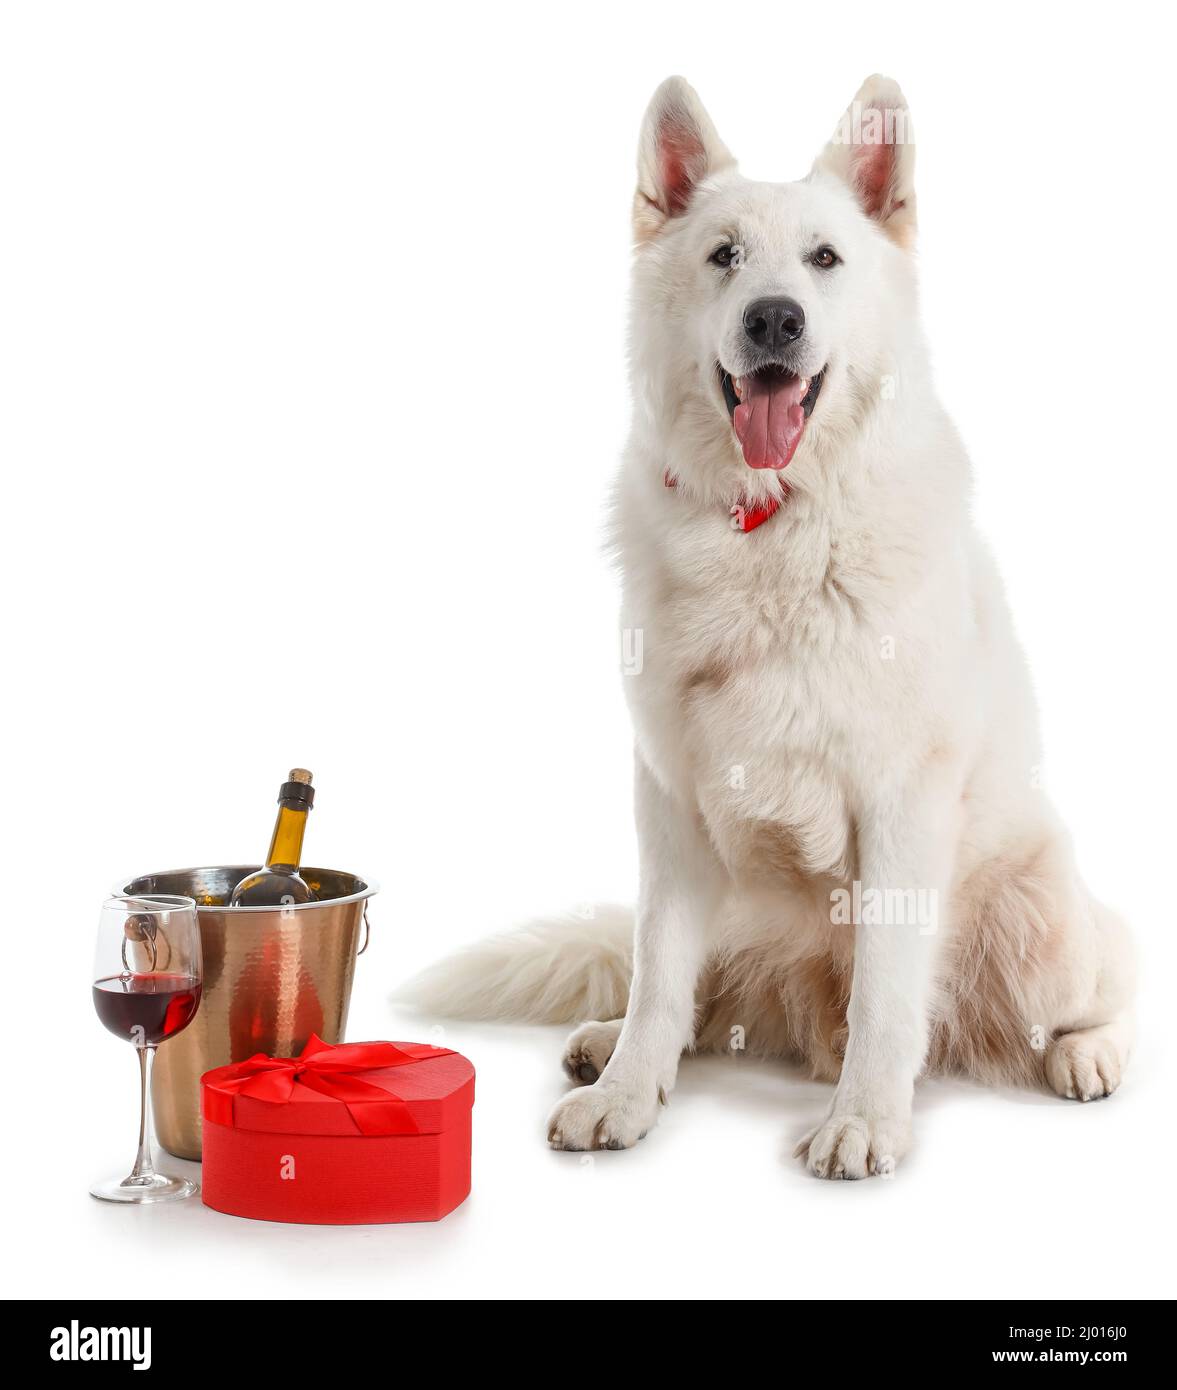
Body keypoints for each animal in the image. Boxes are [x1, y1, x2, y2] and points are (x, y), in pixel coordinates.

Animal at [405, 76, 1133, 1178]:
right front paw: (628, 1095)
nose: (774, 319)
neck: (773, 527)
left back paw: (1085, 1052)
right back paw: (603, 1042)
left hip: (1040, 913)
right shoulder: (669, 805)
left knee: (1103, 984)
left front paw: (863, 1120)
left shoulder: (900, 805)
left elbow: (885, 995)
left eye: (824, 260)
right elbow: (659, 976)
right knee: (686, 995)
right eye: (724, 257)